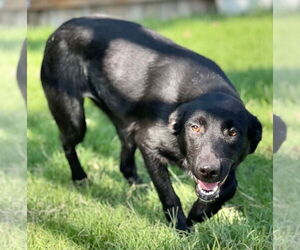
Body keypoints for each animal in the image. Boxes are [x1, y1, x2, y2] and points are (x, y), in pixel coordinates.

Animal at [41, 17, 262, 231]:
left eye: (233, 133)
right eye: (195, 127)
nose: (208, 170)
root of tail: (61, 28)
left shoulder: (226, 165)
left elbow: (230, 186)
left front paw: (199, 213)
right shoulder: (149, 146)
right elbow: (168, 194)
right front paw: (180, 227)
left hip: (125, 121)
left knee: (125, 159)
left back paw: (138, 185)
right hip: (74, 119)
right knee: (67, 143)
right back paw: (80, 177)